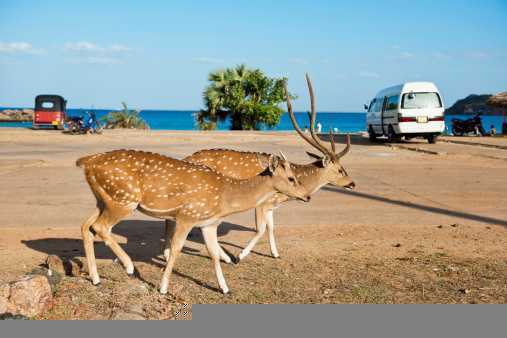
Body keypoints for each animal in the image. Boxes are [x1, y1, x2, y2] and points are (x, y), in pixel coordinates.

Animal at [76, 149, 310, 294]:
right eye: (291, 178)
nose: (307, 196)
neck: (225, 196)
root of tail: (86, 161)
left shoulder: (209, 224)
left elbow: (214, 254)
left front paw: (225, 288)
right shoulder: (187, 216)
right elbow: (176, 249)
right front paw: (163, 288)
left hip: (104, 200)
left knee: (86, 226)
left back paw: (96, 278)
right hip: (123, 199)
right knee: (99, 227)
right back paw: (129, 266)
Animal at [165, 75, 356, 262]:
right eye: (340, 169)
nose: (352, 184)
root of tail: (185, 159)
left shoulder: (271, 206)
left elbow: (272, 227)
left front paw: (275, 254)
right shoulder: (263, 203)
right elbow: (261, 229)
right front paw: (240, 255)